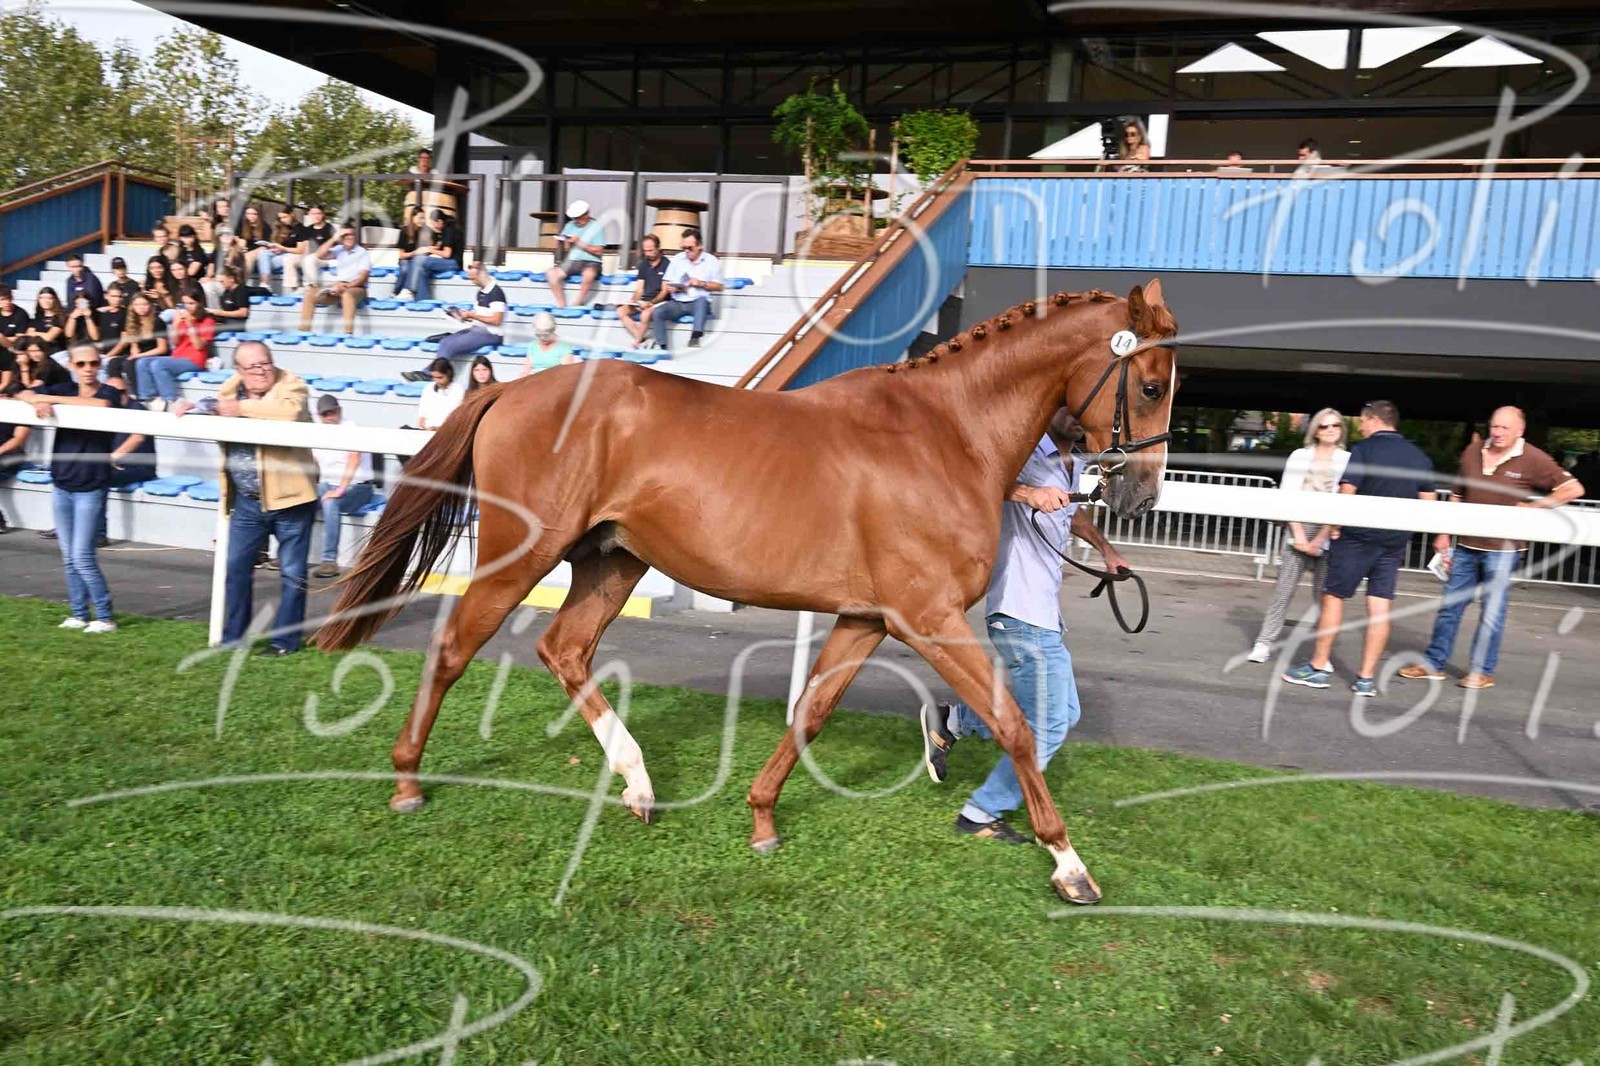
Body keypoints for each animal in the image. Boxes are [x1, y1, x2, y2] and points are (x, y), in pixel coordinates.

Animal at [318, 281, 1178, 903]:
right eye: (1152, 383)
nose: (1140, 495)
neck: (944, 434)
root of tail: (506, 392)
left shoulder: (867, 617)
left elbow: (813, 711)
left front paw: (763, 819)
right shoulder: (927, 617)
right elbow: (1014, 724)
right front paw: (1069, 865)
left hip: (611, 561)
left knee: (563, 649)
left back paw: (638, 784)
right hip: (522, 553)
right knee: (455, 647)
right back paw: (407, 781)